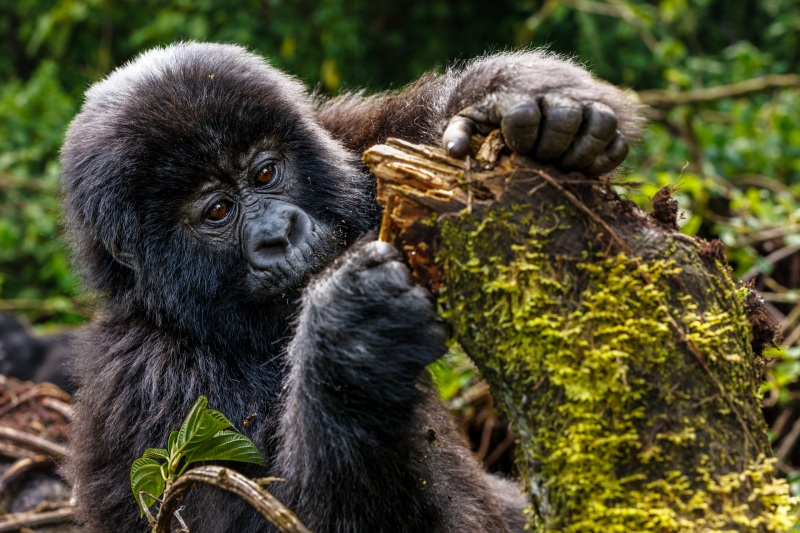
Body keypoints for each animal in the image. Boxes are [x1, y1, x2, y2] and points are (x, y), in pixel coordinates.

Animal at [59, 43, 640, 528]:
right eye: (218, 211)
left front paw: (515, 96)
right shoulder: (153, 391)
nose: (279, 234)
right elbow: (276, 512)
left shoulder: (341, 143)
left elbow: (398, 139)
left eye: (265, 174)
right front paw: (353, 340)